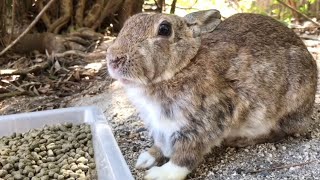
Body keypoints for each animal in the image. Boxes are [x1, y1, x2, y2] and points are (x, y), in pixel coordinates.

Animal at [105, 9, 318, 179]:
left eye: (164, 29)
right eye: (128, 24)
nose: (114, 59)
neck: (182, 66)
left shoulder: (204, 120)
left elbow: (187, 153)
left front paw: (160, 174)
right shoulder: (160, 126)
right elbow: (161, 144)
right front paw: (146, 158)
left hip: (287, 107)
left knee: (280, 132)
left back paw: (239, 140)